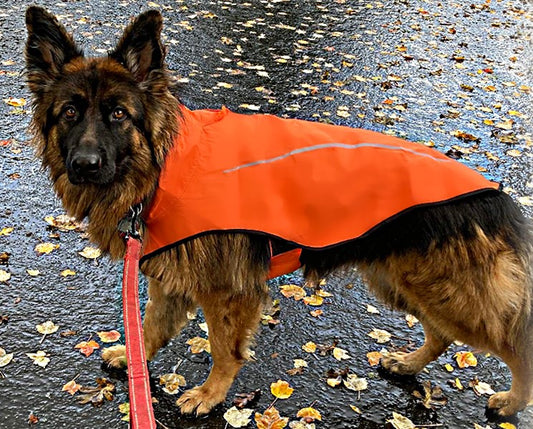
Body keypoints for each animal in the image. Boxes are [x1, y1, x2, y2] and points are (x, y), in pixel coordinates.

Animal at [25, 5, 532, 416]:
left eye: (118, 114)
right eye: (70, 112)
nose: (84, 165)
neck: (168, 167)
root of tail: (497, 196)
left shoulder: (227, 291)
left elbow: (223, 349)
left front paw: (209, 395)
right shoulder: (172, 275)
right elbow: (150, 325)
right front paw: (134, 358)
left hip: (452, 296)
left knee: (515, 344)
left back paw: (510, 401)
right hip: (403, 282)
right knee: (442, 334)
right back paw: (407, 364)